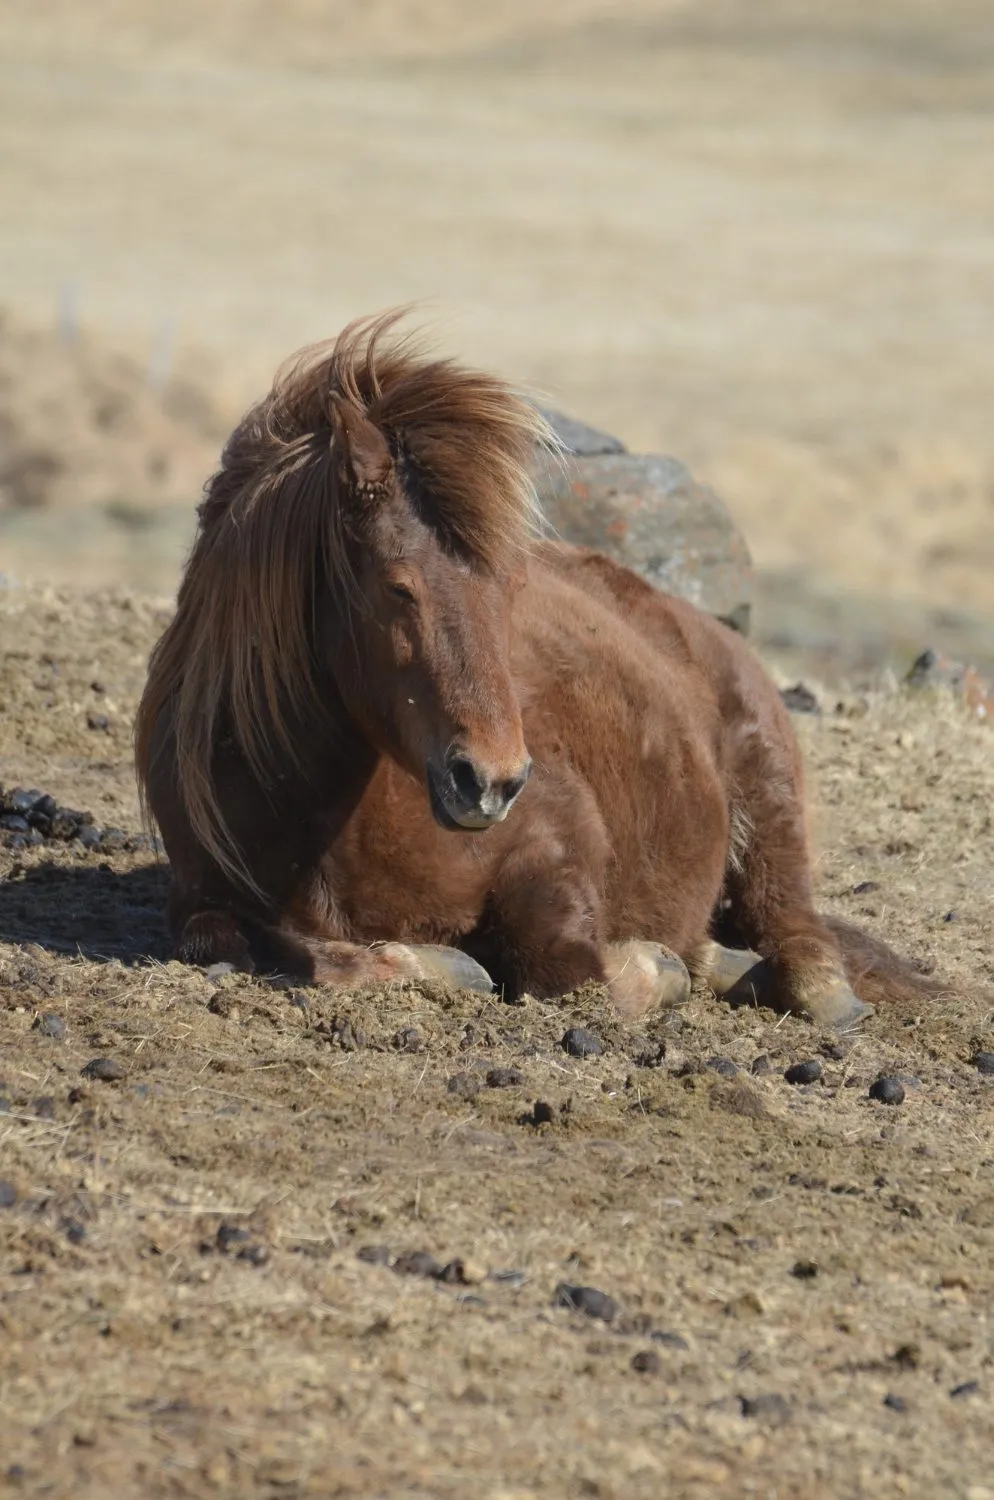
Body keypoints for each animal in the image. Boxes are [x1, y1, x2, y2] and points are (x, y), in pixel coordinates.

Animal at [135, 313, 937, 1029]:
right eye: (399, 587)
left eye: (510, 586)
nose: (490, 780)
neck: (322, 819)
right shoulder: (201, 900)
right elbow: (243, 945)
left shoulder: (556, 848)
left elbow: (569, 971)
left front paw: (649, 965)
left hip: (767, 798)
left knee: (795, 926)